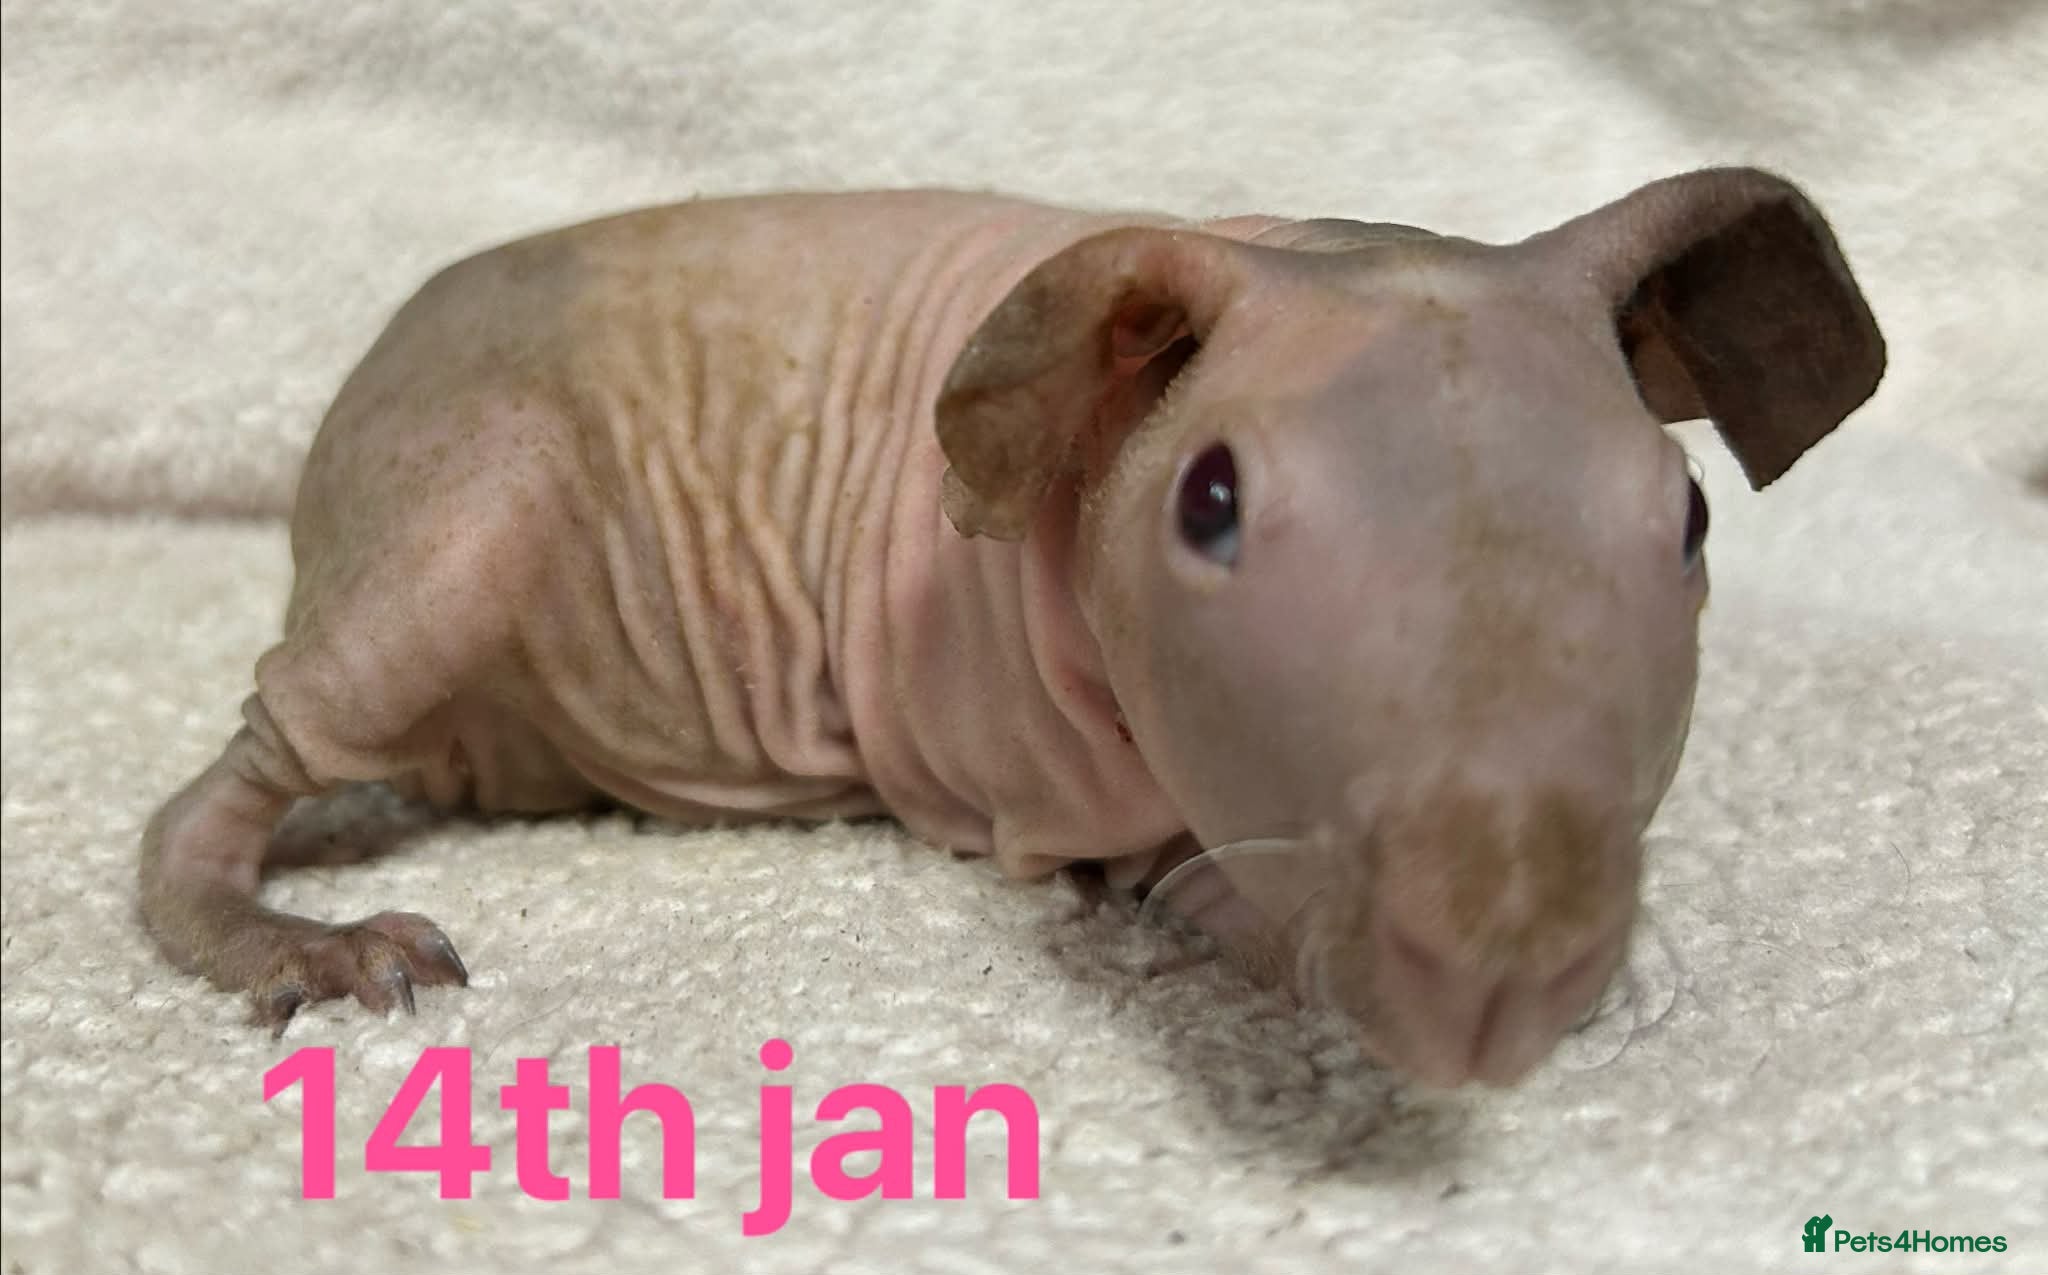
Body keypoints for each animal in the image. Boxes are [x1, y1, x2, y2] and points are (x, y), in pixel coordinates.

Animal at [139, 167, 1885, 1087]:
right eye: (1210, 503)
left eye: (1692, 522)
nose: (1500, 965)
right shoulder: (1050, 792)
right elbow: (1165, 878)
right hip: (461, 502)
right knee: (262, 749)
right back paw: (289, 929)